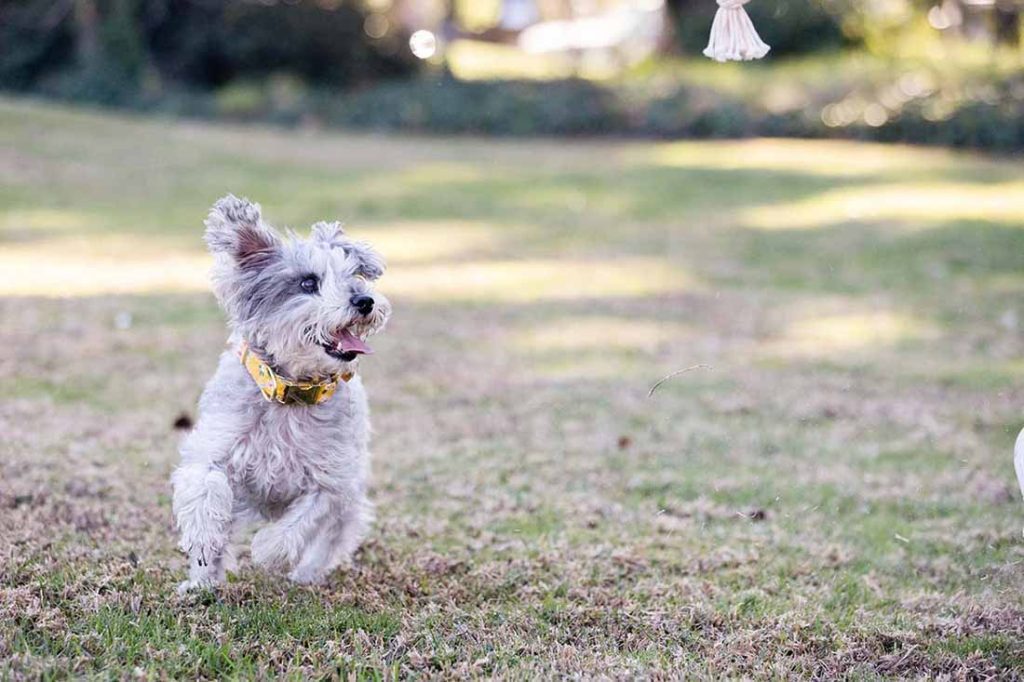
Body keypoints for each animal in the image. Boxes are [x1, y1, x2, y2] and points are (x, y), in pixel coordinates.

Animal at [169, 195, 389, 589]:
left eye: (354, 277)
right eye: (308, 282)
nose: (365, 300)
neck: (292, 392)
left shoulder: (333, 479)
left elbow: (303, 521)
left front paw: (268, 550)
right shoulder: (214, 444)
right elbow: (205, 485)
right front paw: (204, 539)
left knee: (333, 536)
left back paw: (306, 574)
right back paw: (202, 583)